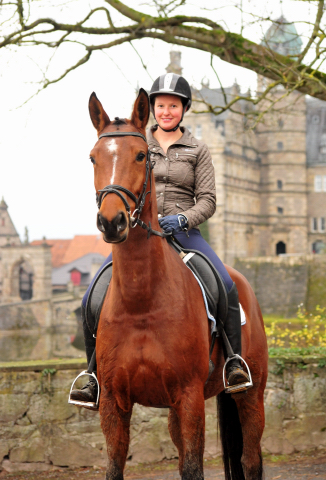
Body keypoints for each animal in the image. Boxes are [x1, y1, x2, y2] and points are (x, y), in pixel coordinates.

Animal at [86, 87, 268, 480]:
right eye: (92, 157)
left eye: (141, 155)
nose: (111, 222)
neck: (142, 301)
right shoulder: (113, 403)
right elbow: (114, 467)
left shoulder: (189, 397)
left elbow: (193, 468)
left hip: (250, 393)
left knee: (250, 459)